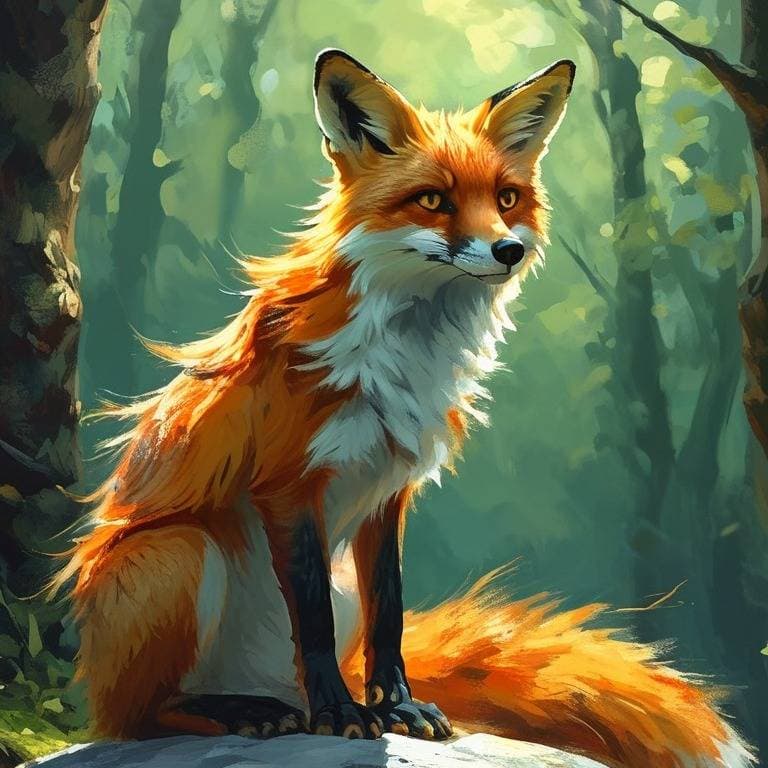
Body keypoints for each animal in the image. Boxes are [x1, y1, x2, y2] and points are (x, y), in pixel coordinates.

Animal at [50, 49, 754, 768]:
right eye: (434, 200)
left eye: (506, 198)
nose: (509, 250)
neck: (401, 360)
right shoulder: (288, 483)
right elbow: (312, 621)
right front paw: (340, 713)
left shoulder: (389, 487)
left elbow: (388, 612)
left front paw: (394, 709)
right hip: (176, 553)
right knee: (144, 716)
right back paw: (249, 711)